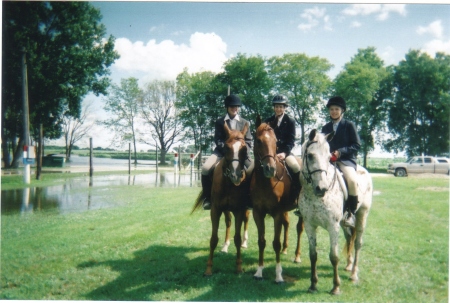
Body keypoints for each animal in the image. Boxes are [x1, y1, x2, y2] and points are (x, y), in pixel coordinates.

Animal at [192, 122, 251, 276]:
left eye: (244, 148)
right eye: (226, 147)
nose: (236, 175)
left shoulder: (239, 210)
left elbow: (237, 238)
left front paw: (238, 267)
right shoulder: (216, 209)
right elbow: (213, 239)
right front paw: (208, 268)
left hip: (245, 210)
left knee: (246, 221)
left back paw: (245, 242)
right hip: (225, 209)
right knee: (228, 222)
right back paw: (225, 246)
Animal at [251, 117, 304, 284]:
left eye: (275, 141)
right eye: (258, 140)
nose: (270, 169)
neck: (266, 182)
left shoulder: (277, 214)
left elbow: (276, 243)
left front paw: (279, 275)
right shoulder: (258, 213)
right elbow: (261, 241)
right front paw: (259, 271)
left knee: (299, 228)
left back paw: (297, 256)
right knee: (287, 225)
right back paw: (286, 250)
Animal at [300, 129, 370, 296]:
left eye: (328, 157)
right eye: (310, 155)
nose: (322, 189)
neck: (315, 197)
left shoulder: (333, 226)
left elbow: (334, 256)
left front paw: (336, 287)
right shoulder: (309, 225)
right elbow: (313, 255)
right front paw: (313, 284)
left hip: (362, 215)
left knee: (357, 243)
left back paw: (354, 274)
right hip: (344, 223)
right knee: (349, 238)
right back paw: (349, 266)